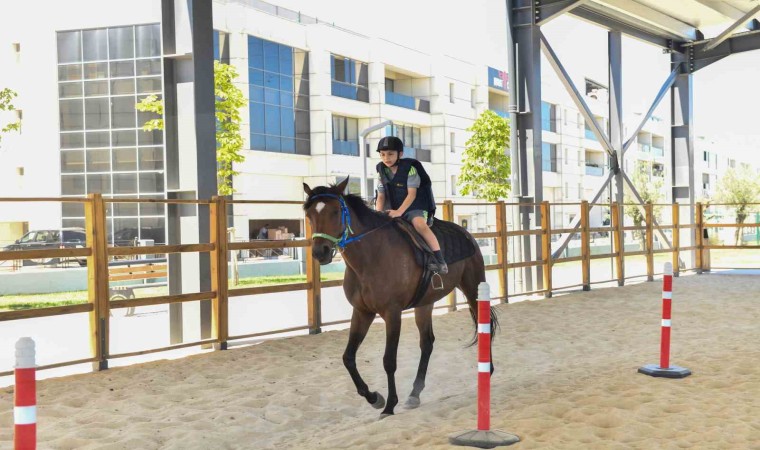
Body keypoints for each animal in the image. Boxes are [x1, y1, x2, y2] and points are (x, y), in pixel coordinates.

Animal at [302, 178, 498, 416]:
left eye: (335, 211)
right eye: (309, 214)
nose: (320, 252)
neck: (371, 257)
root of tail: (467, 233)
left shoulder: (392, 313)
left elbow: (389, 360)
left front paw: (389, 404)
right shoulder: (362, 312)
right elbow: (348, 357)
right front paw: (374, 398)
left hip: (472, 288)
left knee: (482, 325)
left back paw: (487, 371)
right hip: (425, 304)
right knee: (427, 343)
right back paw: (414, 394)